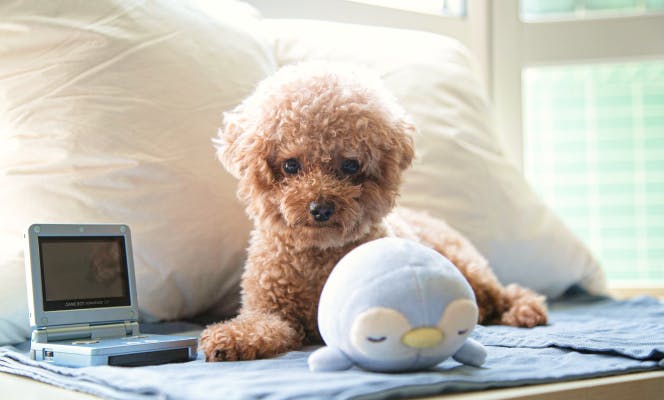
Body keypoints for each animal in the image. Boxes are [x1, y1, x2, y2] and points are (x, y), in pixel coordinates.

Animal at [201, 61, 544, 362]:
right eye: (291, 165)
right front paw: (229, 338)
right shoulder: (269, 309)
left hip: (468, 267)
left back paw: (525, 311)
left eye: (350, 165)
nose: (320, 208)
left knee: (504, 293)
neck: (317, 255)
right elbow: (261, 325)